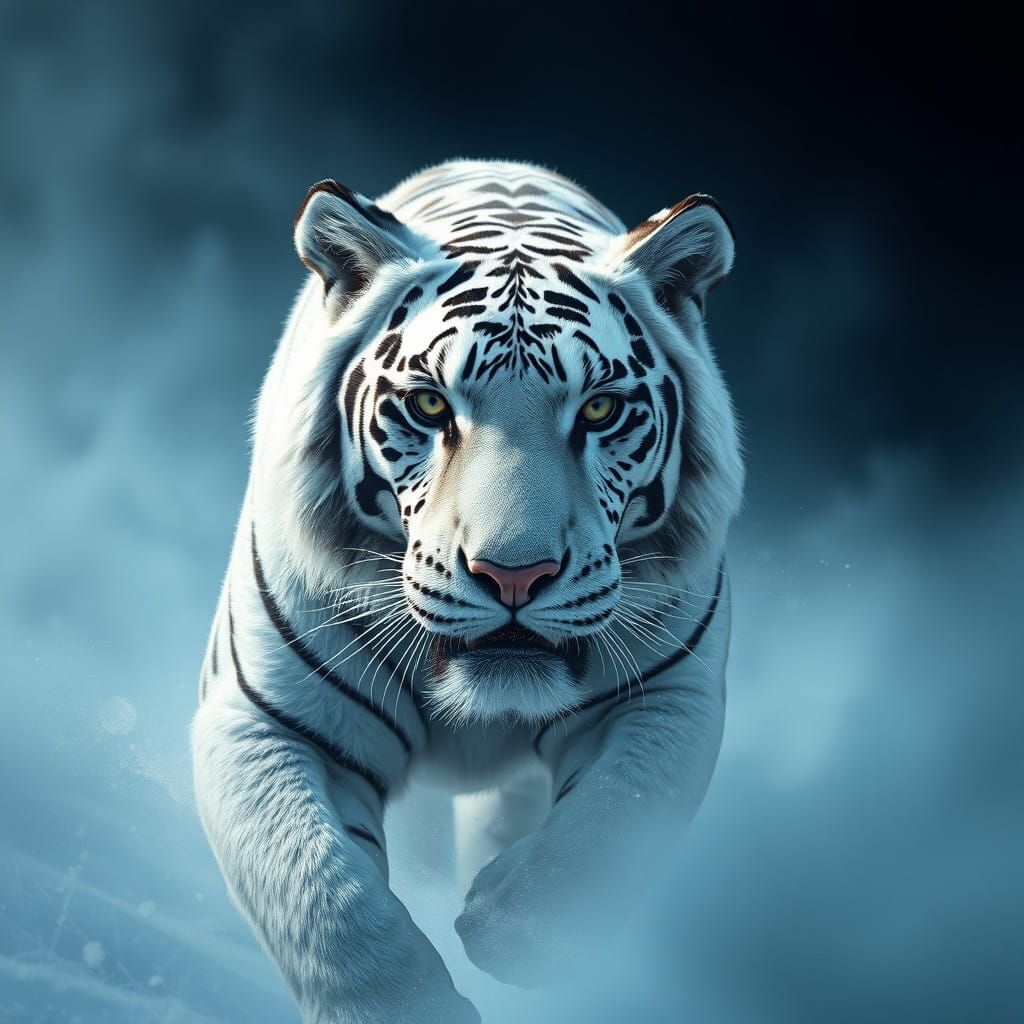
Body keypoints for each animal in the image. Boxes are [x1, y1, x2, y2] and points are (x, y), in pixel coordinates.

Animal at [191, 159, 744, 1024]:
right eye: (428, 404)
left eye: (600, 409)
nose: (514, 573)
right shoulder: (262, 719)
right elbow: (320, 890)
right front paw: (407, 1004)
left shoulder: (670, 697)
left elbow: (614, 819)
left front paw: (511, 929)